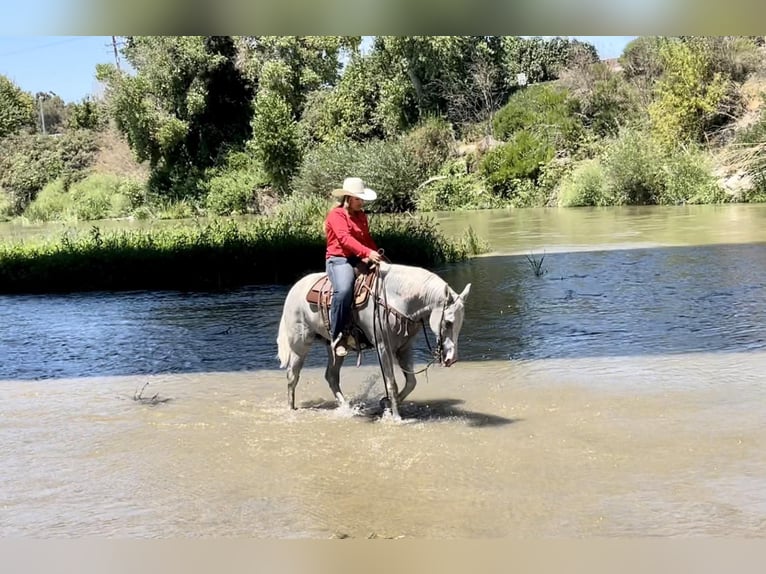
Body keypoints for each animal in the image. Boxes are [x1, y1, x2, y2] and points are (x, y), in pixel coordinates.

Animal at [276, 264, 468, 420]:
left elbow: (411, 382)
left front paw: (386, 404)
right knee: (292, 376)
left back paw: (346, 407)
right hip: (299, 345)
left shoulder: (405, 347)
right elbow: (392, 384)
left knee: (331, 376)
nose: (452, 359)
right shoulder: (384, 347)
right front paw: (396, 417)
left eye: (460, 322)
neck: (396, 299)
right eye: (448, 322)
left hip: (334, 348)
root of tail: (294, 289)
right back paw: (291, 409)